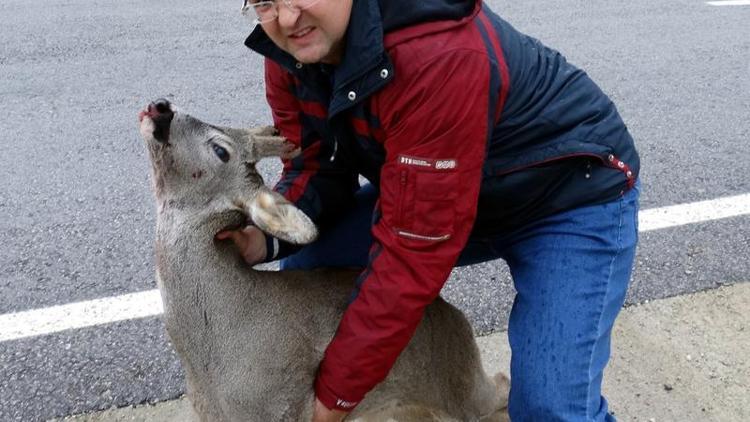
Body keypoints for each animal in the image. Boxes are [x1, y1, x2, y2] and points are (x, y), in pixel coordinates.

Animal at [137, 99, 512, 422]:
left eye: (220, 150)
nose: (161, 108)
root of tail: (454, 314)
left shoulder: (284, 406)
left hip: (462, 385)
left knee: (502, 386)